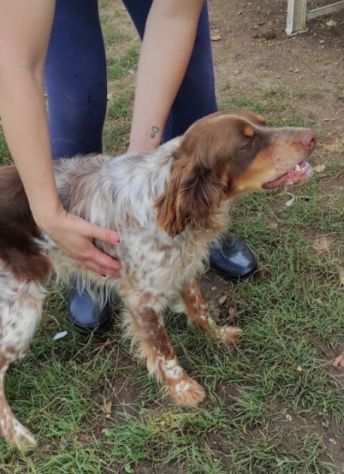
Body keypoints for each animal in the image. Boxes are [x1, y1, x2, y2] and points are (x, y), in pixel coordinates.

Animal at [0, 110, 316, 448]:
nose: (312, 137)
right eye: (247, 143)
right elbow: (164, 351)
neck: (165, 200)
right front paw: (183, 389)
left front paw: (218, 335)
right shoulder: (142, 299)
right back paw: (17, 434)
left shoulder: (183, 268)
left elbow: (200, 309)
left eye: (263, 123)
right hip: (20, 312)